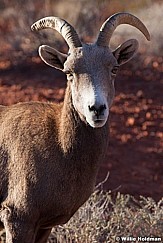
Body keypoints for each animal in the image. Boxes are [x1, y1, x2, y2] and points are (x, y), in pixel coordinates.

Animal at [0, 12, 150, 242]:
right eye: (69, 72)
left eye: (114, 68)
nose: (96, 109)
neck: (59, 146)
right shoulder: (17, 220)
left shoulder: (44, 226)